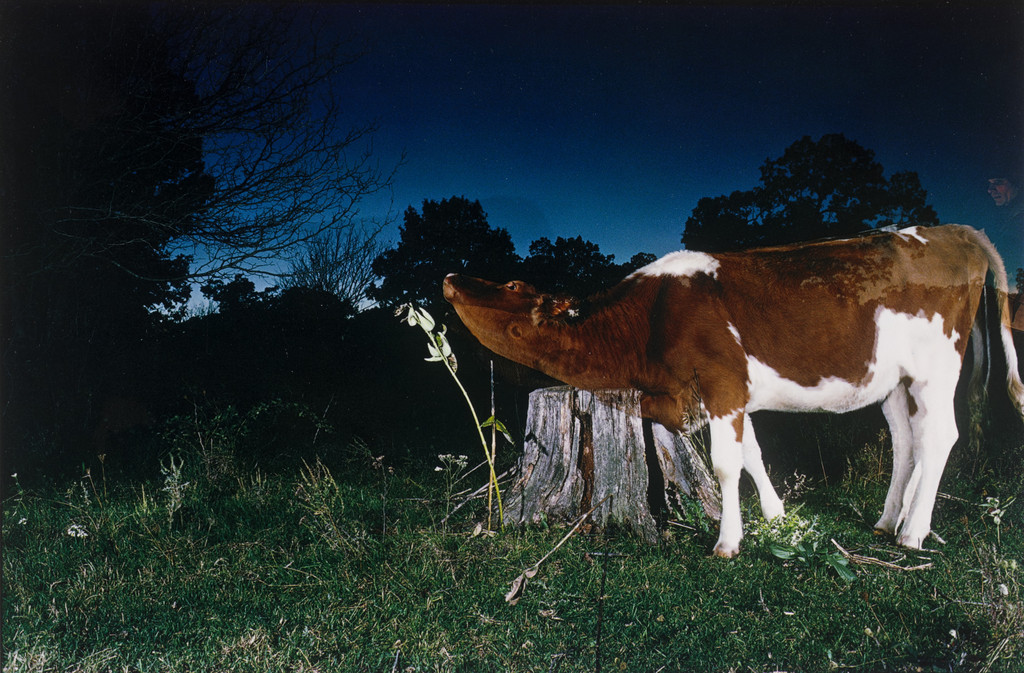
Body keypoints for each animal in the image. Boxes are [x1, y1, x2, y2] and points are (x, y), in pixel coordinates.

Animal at [442, 224, 1024, 557]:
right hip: (894, 380)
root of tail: (955, 230)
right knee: (908, 441)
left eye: (512, 285)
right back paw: (888, 521)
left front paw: (728, 540)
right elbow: (752, 454)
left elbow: (727, 463)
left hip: (936, 367)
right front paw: (775, 514)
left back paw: (913, 531)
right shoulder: (721, 396)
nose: (449, 276)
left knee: (940, 436)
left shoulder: (722, 384)